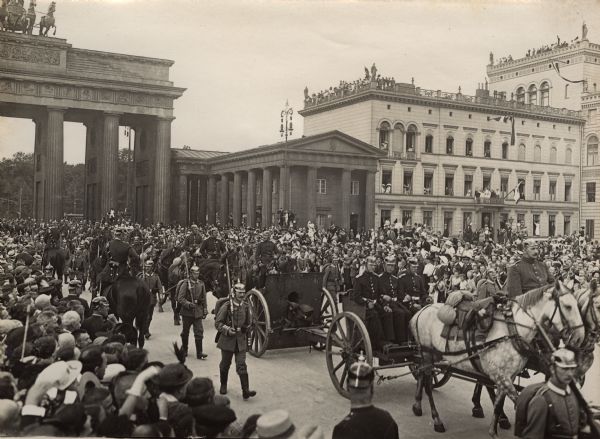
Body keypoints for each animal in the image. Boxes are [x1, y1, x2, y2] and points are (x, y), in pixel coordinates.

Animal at [410, 280, 584, 438]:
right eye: (568, 306)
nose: (579, 337)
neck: (512, 330)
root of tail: (422, 310)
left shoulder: (507, 376)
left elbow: (499, 405)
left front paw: (494, 430)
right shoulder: (499, 375)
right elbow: (517, 400)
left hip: (432, 356)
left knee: (421, 374)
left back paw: (417, 404)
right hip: (426, 355)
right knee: (427, 384)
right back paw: (436, 419)